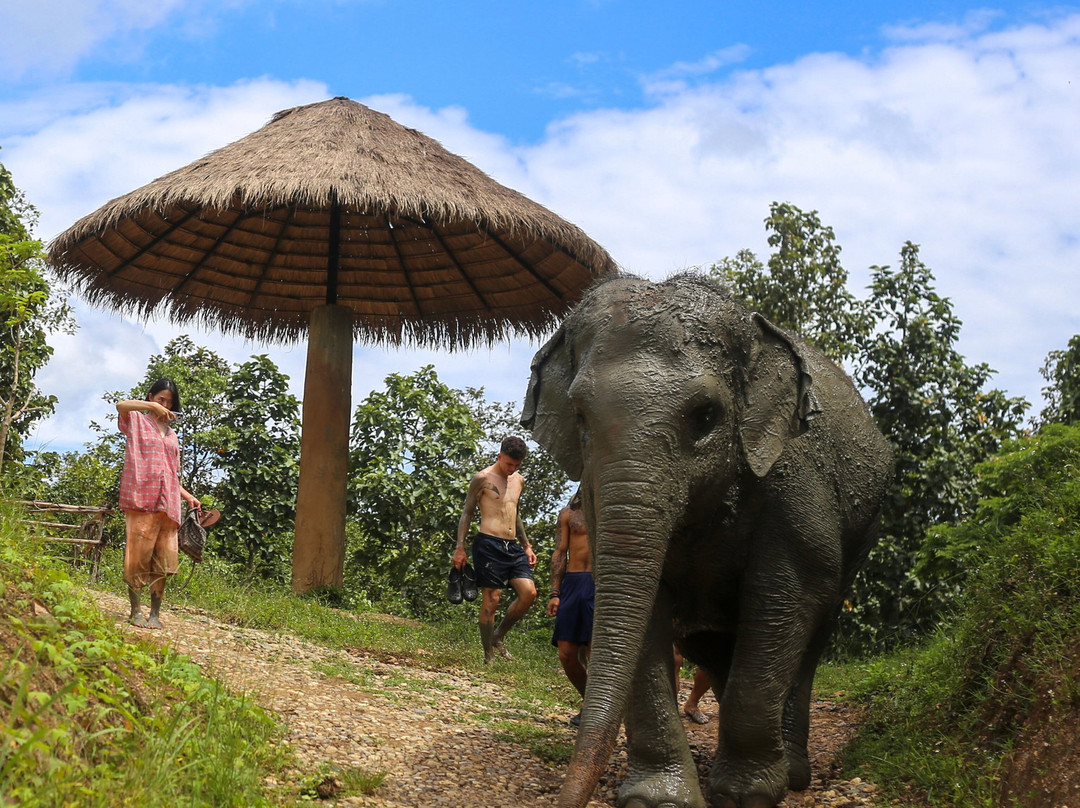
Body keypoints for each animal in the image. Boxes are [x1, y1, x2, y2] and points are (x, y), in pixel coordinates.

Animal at [520, 273, 893, 808]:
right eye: (580, 416)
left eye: (706, 415)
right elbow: (641, 606)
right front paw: (658, 800)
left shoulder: (794, 480)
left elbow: (790, 592)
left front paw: (746, 796)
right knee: (712, 647)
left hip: (867, 525)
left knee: (811, 636)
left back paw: (791, 773)